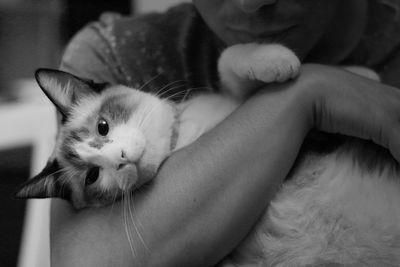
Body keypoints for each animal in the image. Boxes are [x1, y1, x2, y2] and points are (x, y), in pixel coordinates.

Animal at [14, 43, 400, 266]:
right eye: (93, 176)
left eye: (103, 126)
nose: (120, 158)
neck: (182, 139)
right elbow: (228, 62)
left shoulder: (243, 102)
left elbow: (231, 60)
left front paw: (360, 73)